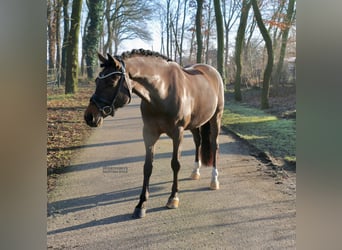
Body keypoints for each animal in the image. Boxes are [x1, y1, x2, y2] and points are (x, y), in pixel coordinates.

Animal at [85, 49, 224, 219]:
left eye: (111, 82)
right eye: (97, 80)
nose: (89, 116)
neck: (163, 92)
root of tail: (212, 71)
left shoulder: (177, 134)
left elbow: (175, 164)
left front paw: (173, 198)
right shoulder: (149, 133)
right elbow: (147, 167)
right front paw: (141, 205)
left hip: (216, 118)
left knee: (214, 145)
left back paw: (214, 180)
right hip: (195, 124)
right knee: (198, 142)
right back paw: (195, 172)